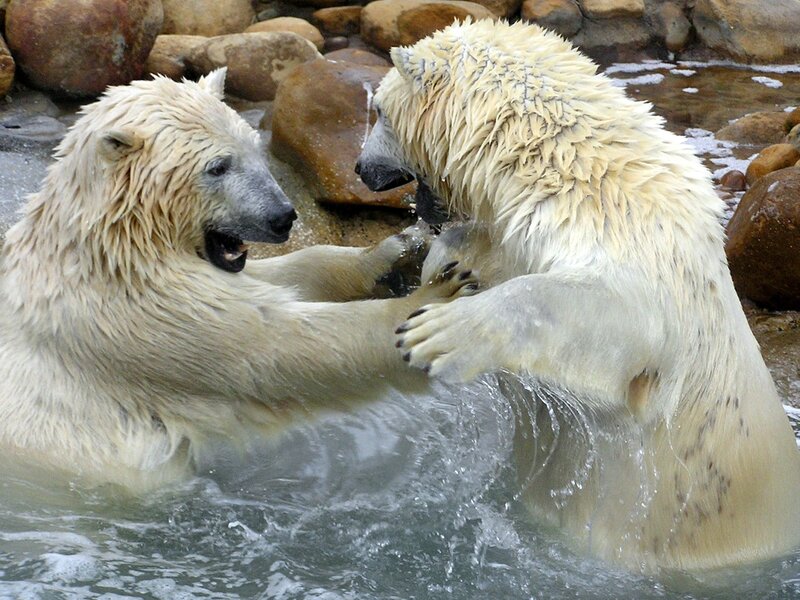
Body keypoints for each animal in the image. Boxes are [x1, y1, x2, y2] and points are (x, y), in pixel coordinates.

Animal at [0, 69, 477, 491]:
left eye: (253, 148)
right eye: (217, 167)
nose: (282, 217)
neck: (109, 244)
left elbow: (286, 277)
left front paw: (395, 255)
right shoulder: (133, 313)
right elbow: (276, 345)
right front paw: (435, 303)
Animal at [356, 20, 800, 571]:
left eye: (379, 110)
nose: (360, 168)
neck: (565, 168)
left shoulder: (636, 246)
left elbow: (599, 311)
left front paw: (434, 333)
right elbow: (492, 253)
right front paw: (445, 266)